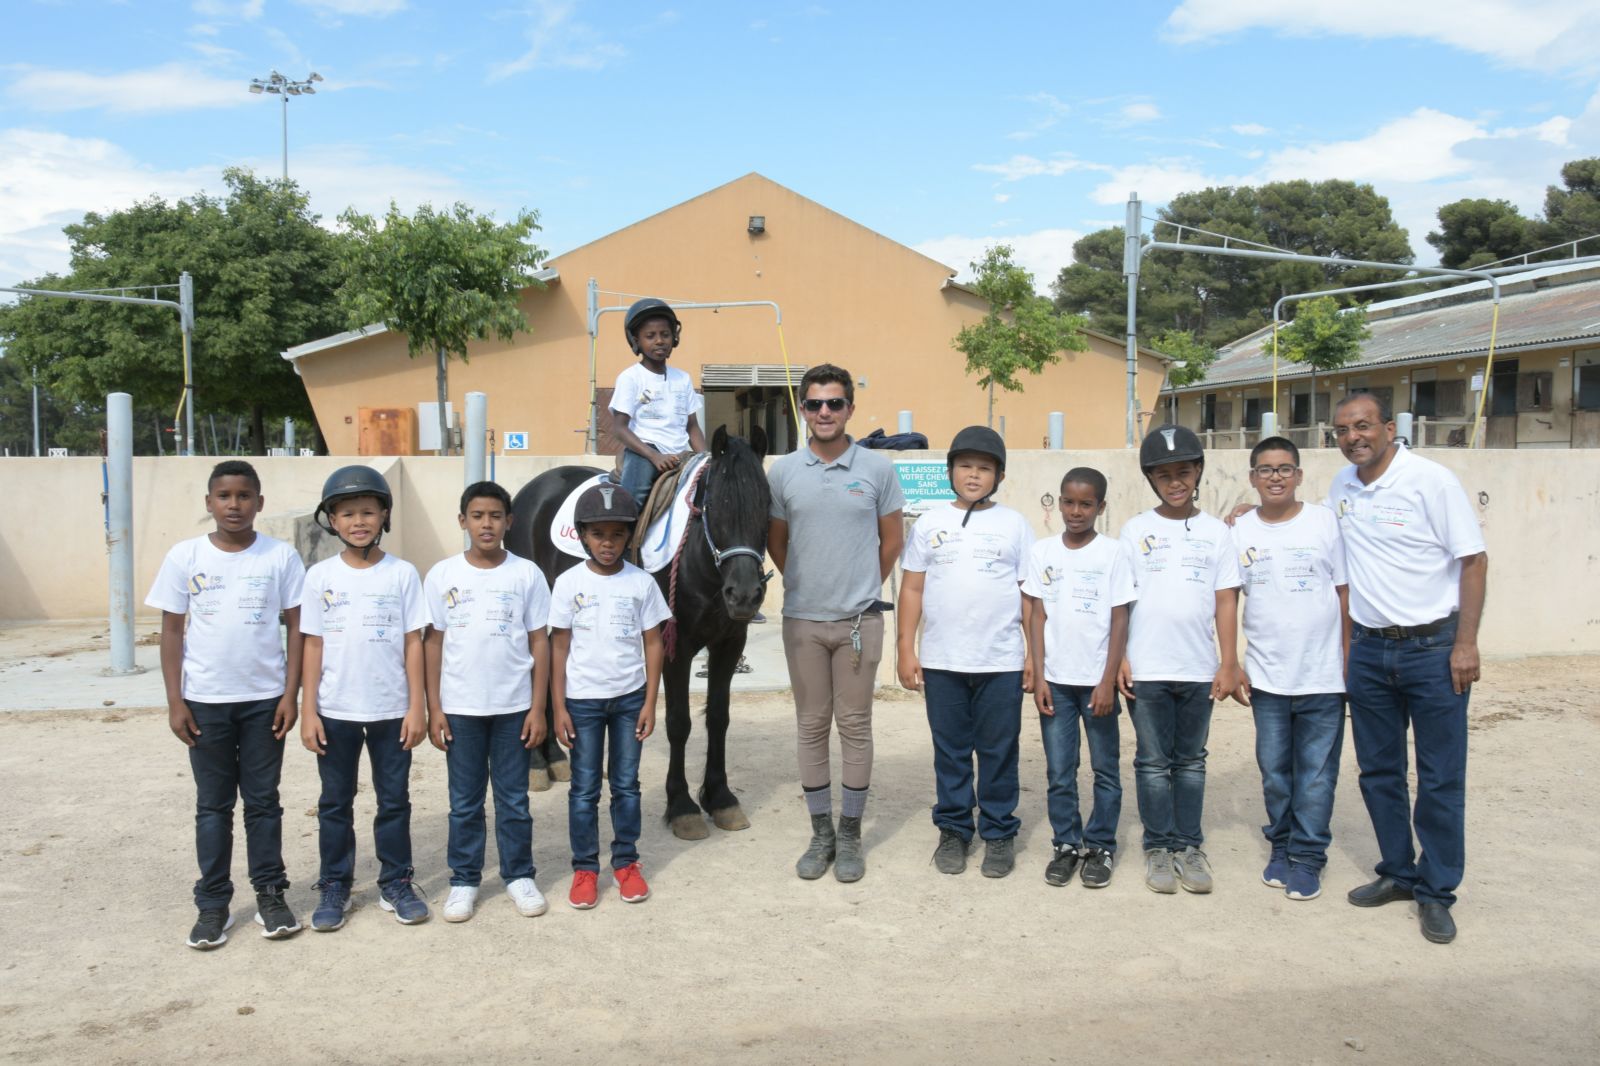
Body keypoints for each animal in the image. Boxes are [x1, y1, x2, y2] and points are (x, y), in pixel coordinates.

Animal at [505, 422, 768, 838]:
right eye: (714, 506)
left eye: (766, 505)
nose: (744, 594)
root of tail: (532, 490)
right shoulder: (676, 644)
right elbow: (679, 722)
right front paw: (682, 806)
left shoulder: (729, 642)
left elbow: (718, 718)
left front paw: (721, 798)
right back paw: (536, 765)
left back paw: (555, 759)